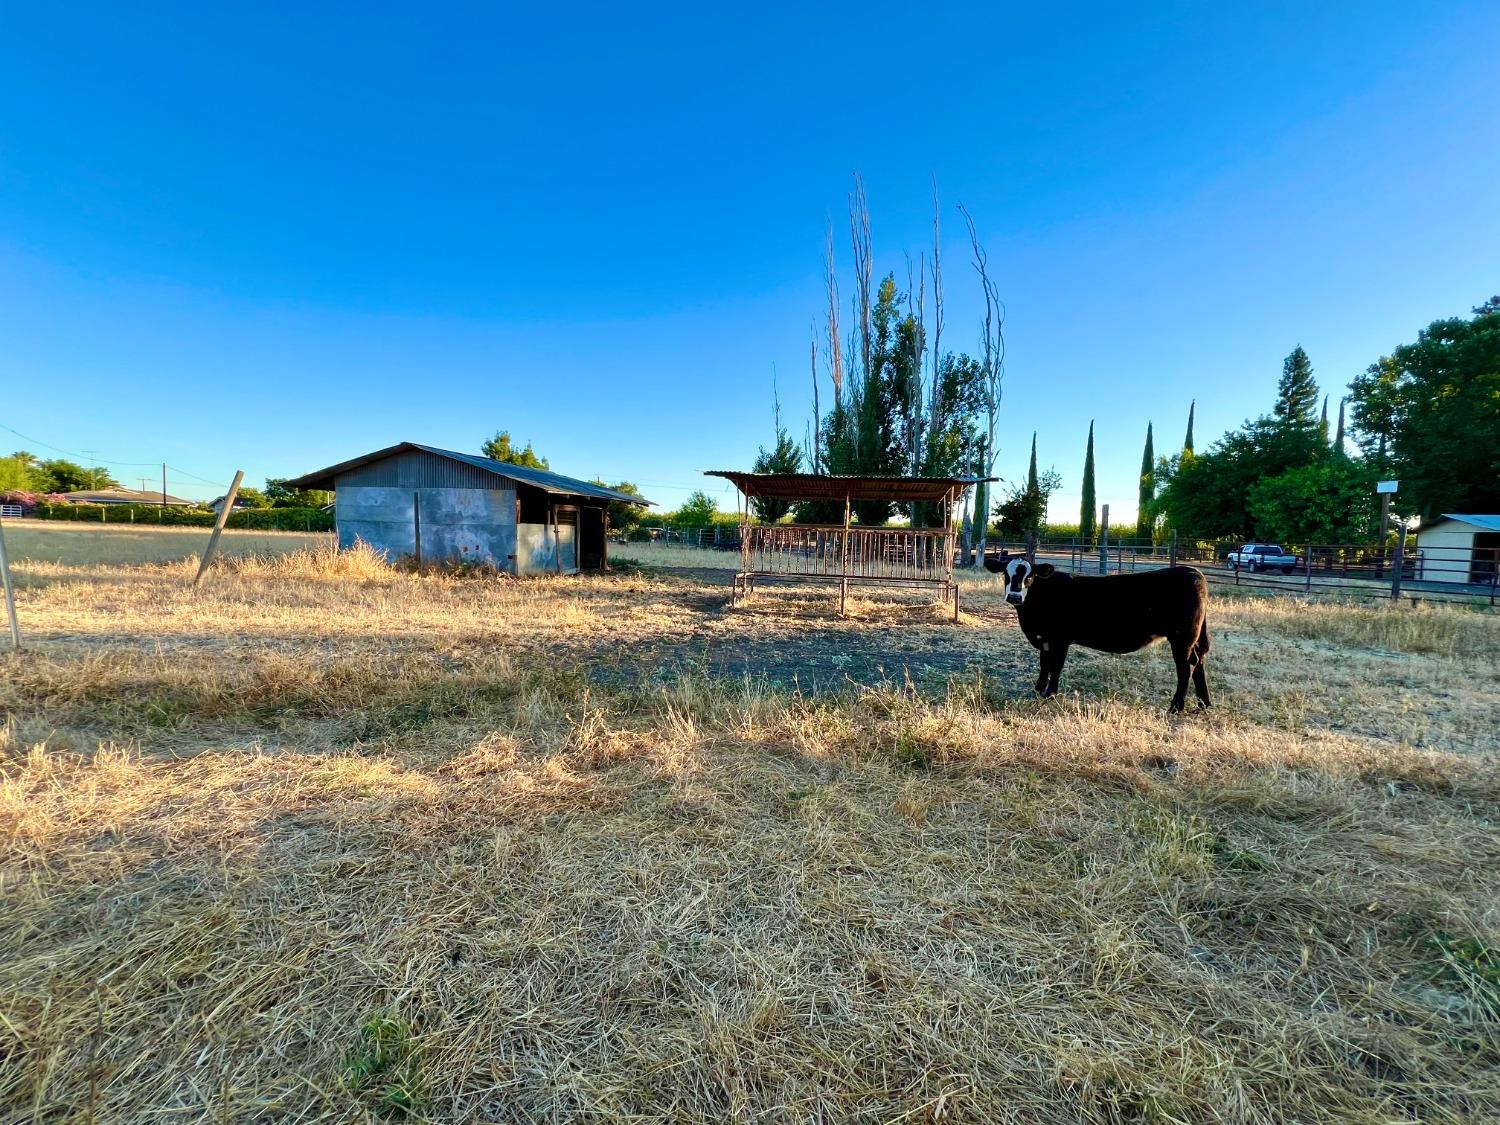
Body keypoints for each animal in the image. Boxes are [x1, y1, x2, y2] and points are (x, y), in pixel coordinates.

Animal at [984, 558, 1218, 714]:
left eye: (1030, 577)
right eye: (1006, 574)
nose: (1014, 596)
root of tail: (1193, 572)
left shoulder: (1060, 639)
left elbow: (1055, 666)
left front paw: (1050, 693)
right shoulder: (1045, 639)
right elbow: (1044, 664)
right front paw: (1039, 688)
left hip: (1182, 638)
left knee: (1186, 667)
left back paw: (1176, 706)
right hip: (1192, 638)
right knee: (1199, 661)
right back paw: (1203, 704)